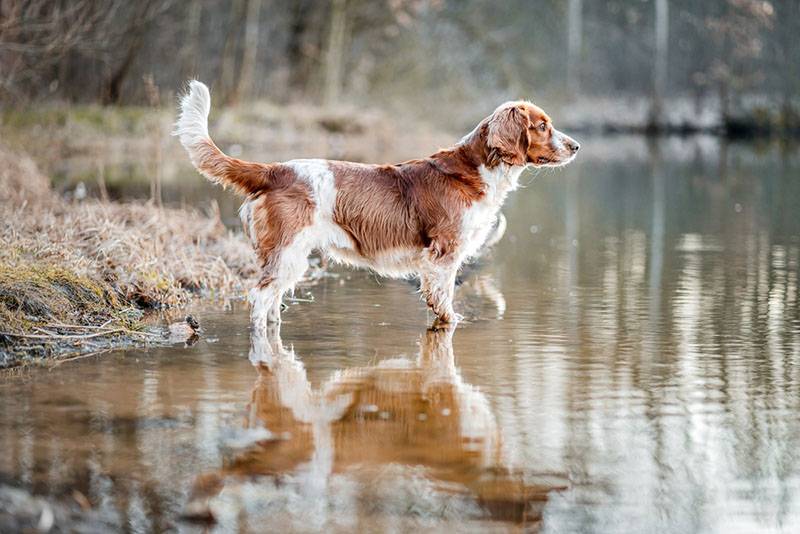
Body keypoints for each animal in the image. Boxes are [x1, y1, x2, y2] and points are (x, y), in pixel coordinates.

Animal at [175, 81, 580, 328]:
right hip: (287, 252)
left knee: (271, 302)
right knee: (259, 300)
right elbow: (444, 302)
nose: (576, 146)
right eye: (542, 126)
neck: (477, 170)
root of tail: (274, 170)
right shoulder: (443, 255)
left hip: (287, 259)